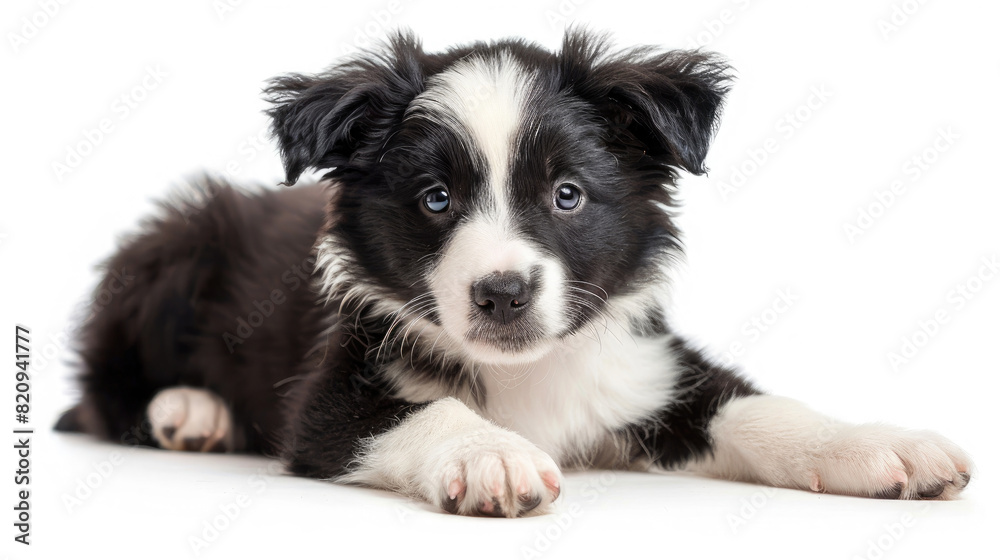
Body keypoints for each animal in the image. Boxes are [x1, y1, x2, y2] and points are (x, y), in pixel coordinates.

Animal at [54, 30, 968, 516]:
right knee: (103, 388)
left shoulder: (648, 366)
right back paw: (188, 410)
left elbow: (762, 408)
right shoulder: (326, 395)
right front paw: (491, 455)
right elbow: (432, 411)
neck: (528, 373)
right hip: (171, 253)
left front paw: (878, 445)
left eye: (567, 194)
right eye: (436, 198)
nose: (503, 294)